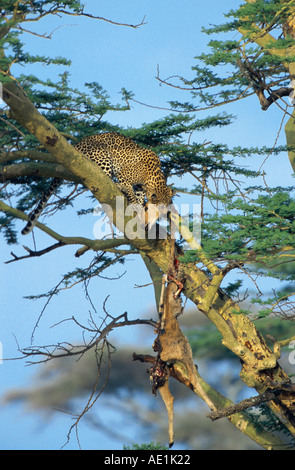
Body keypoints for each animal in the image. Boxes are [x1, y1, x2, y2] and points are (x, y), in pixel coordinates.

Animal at [21, 132, 173, 235]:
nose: (165, 214)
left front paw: (140, 207)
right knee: (103, 178)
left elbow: (139, 196)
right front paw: (135, 204)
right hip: (103, 156)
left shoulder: (140, 187)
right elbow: (130, 192)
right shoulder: (124, 175)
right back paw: (115, 185)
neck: (154, 177)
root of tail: (77, 145)